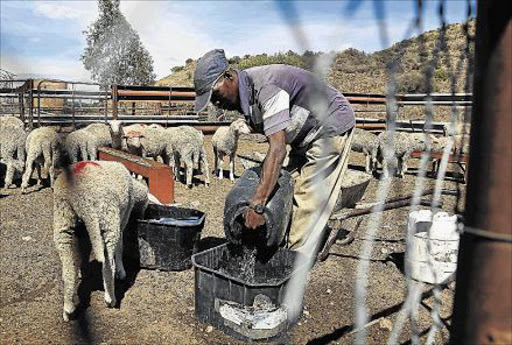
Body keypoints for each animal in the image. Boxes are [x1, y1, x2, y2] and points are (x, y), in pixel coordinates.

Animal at [53, 161, 148, 320]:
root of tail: (80, 198)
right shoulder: (122, 219)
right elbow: (120, 247)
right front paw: (121, 271)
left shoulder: (82, 233)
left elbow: (82, 253)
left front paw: (80, 270)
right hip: (108, 219)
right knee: (109, 265)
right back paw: (111, 298)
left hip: (64, 224)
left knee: (67, 270)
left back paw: (68, 309)